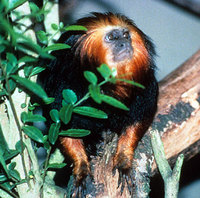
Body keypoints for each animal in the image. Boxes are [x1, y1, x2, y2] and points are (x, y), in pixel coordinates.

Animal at [38, 12, 159, 196]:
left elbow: (138, 120)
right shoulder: (62, 89)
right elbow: (64, 128)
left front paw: (123, 160)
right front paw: (81, 168)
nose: (124, 43)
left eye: (126, 35)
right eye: (111, 37)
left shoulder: (145, 89)